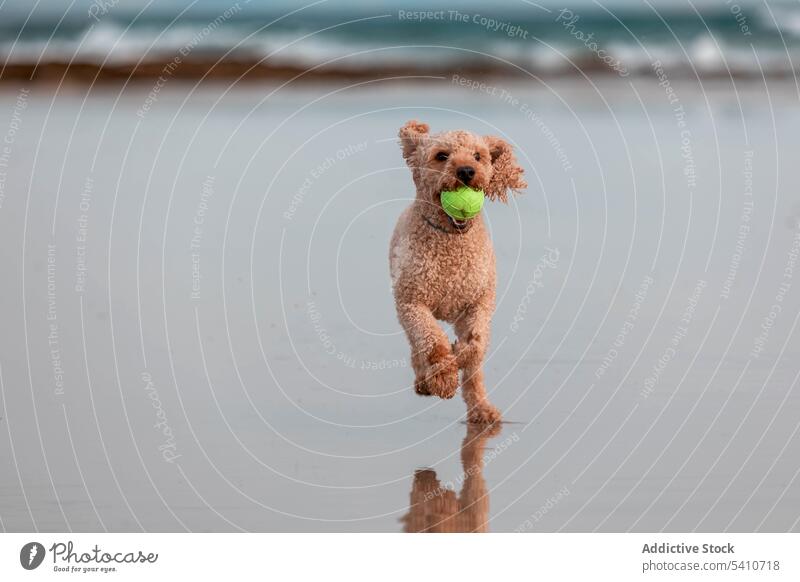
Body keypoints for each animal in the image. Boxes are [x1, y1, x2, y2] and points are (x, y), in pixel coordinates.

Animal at [390, 122, 524, 424]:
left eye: (478, 156)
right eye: (442, 156)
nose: (466, 171)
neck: (451, 241)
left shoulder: (479, 302)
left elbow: (475, 345)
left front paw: (459, 354)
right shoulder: (412, 303)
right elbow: (432, 340)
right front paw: (442, 378)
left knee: (474, 373)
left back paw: (482, 409)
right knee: (417, 347)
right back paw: (425, 380)